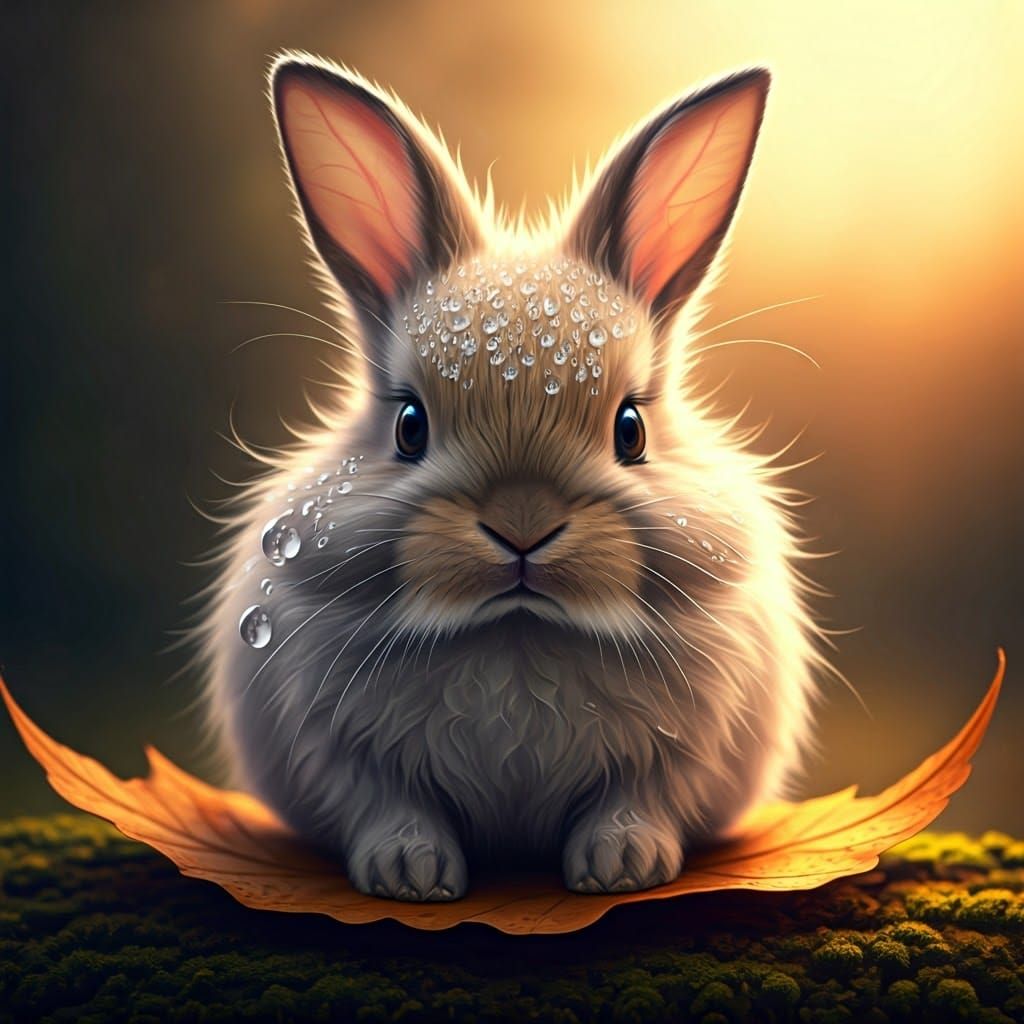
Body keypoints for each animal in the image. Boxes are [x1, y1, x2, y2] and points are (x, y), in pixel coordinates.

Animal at [199, 51, 824, 902]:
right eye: (410, 427)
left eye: (631, 430)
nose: (522, 525)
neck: (517, 631)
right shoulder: (332, 744)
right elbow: (389, 805)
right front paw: (409, 874)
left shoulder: (689, 746)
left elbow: (637, 800)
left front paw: (623, 865)